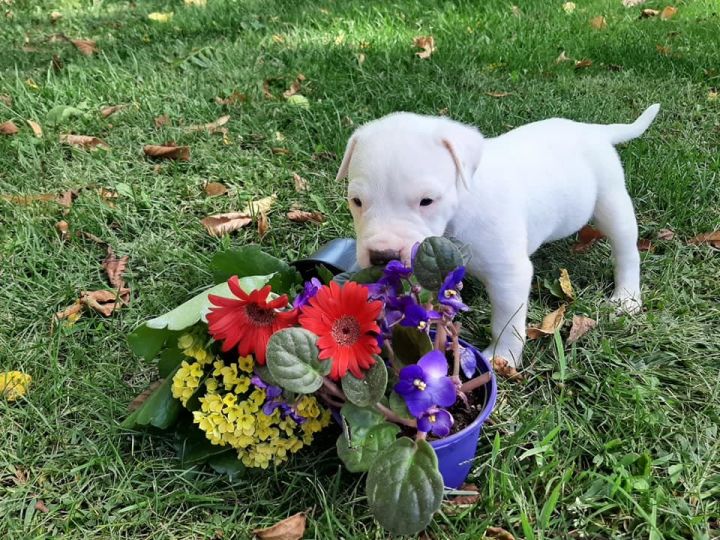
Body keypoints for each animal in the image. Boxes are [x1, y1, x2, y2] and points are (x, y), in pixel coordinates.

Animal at [336, 104, 660, 368]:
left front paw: (502, 357)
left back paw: (627, 296)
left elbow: (506, 321)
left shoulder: (509, 275)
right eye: (356, 201)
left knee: (626, 250)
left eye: (427, 201)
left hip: (611, 201)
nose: (383, 256)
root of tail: (593, 131)